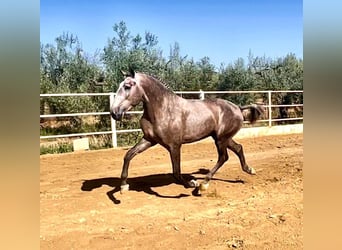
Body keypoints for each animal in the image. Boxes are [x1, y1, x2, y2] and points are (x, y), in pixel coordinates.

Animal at [110, 69, 264, 194]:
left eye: (127, 86)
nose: (114, 113)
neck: (163, 109)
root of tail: (238, 108)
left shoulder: (174, 145)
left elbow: (176, 172)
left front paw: (192, 183)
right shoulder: (149, 140)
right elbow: (128, 155)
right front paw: (123, 186)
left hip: (221, 139)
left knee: (223, 157)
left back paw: (203, 184)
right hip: (222, 138)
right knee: (238, 148)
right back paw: (249, 170)